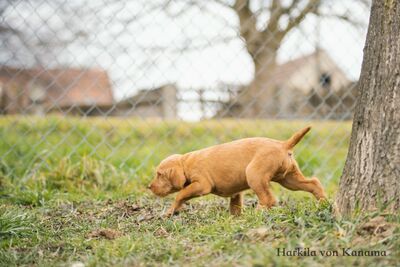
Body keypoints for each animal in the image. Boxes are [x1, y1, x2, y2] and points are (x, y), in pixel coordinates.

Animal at [148, 126, 326, 217]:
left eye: (159, 174)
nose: (149, 187)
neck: (186, 163)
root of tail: (283, 144)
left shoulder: (201, 184)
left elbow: (180, 194)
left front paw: (170, 212)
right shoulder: (235, 193)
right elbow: (235, 206)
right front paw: (235, 219)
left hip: (255, 175)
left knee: (269, 199)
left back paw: (258, 213)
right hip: (289, 179)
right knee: (313, 183)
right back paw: (324, 202)